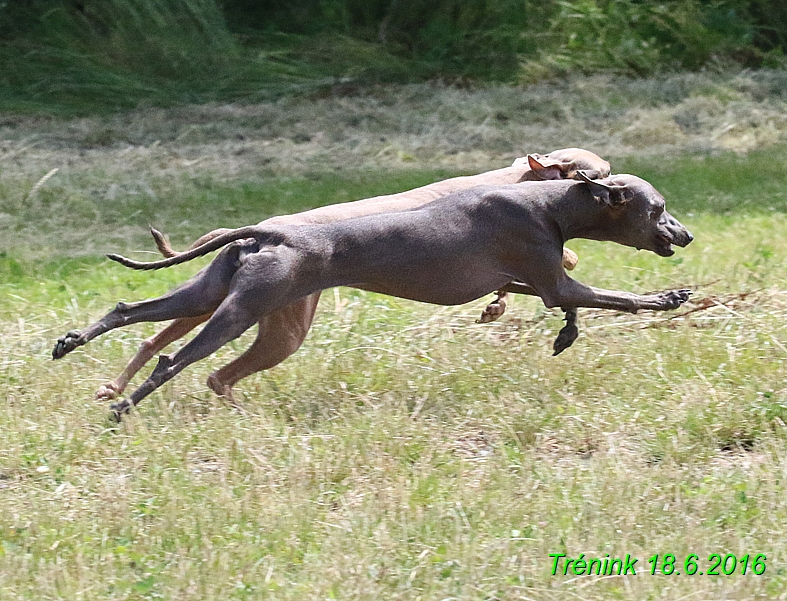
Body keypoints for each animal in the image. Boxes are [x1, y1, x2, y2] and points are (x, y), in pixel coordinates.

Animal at [53, 171, 696, 420]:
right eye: (658, 209)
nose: (686, 235)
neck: (548, 202)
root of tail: (271, 233)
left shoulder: (533, 279)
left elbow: (560, 302)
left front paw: (565, 333)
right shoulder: (549, 271)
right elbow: (615, 298)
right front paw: (668, 298)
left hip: (211, 294)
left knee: (130, 310)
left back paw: (70, 343)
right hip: (238, 311)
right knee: (172, 358)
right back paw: (121, 407)